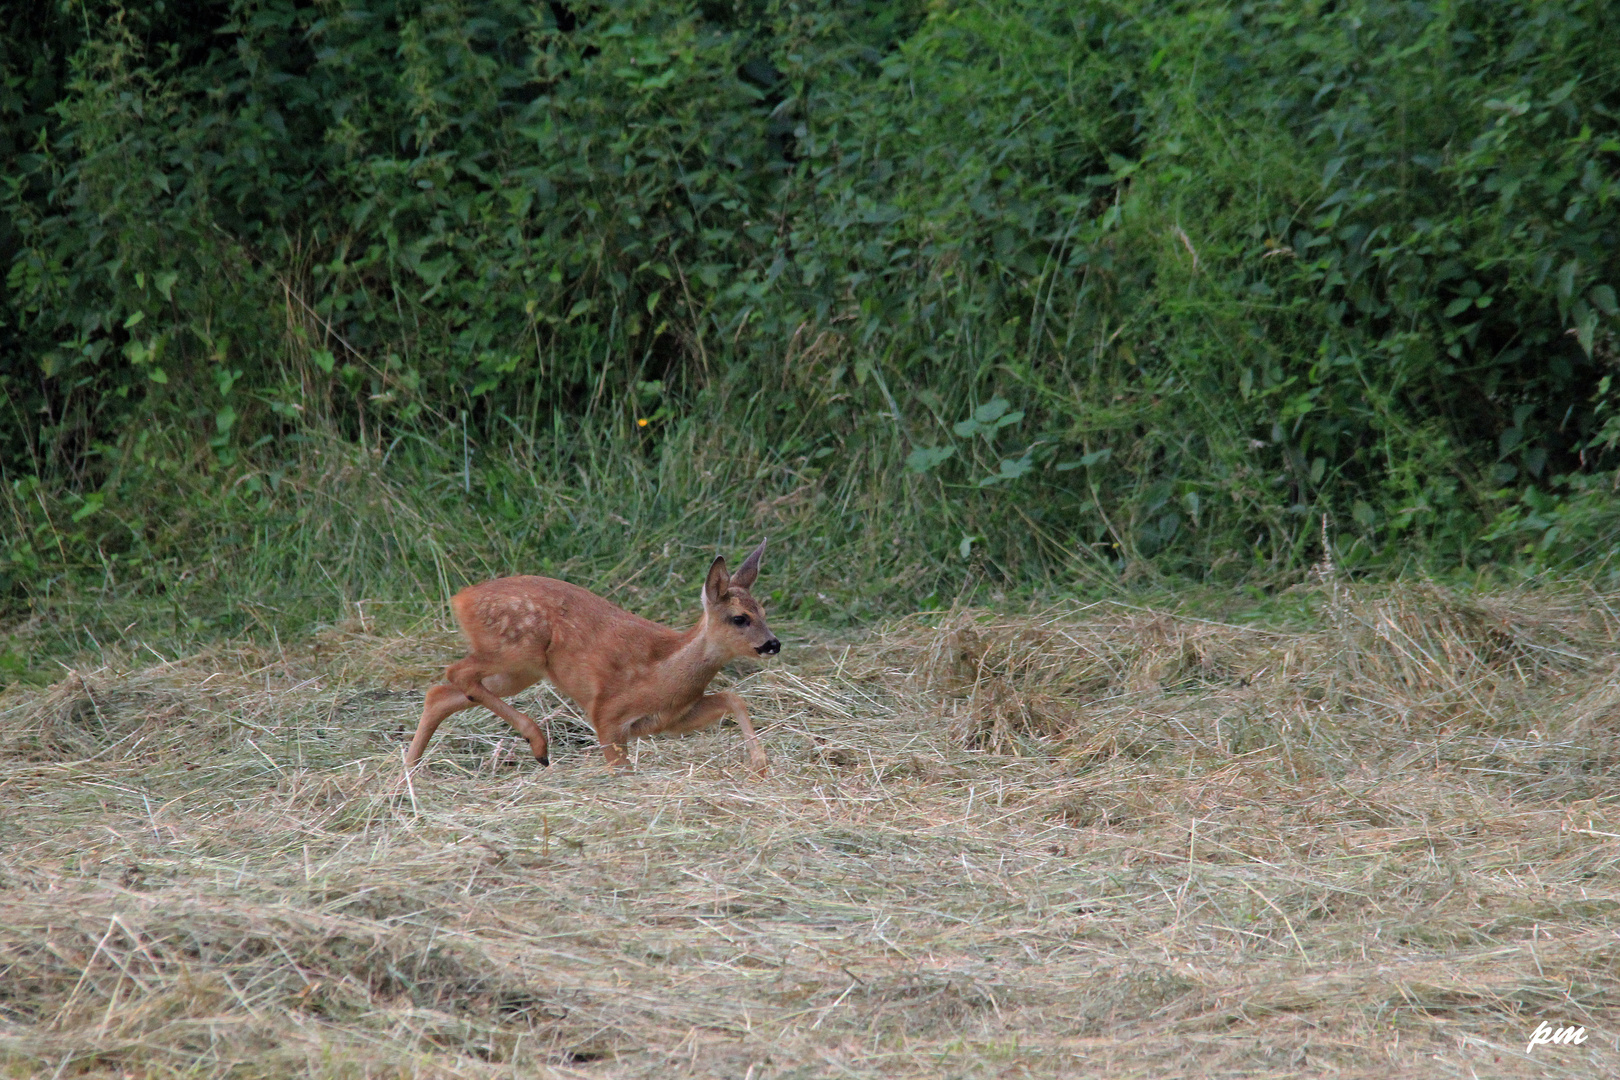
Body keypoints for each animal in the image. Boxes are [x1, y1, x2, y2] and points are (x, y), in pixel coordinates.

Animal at [408, 540, 780, 777]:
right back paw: (538, 745)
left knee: (440, 694)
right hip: (516, 649)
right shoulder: (607, 715)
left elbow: (732, 697)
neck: (664, 673)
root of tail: (460, 600)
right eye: (740, 618)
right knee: (457, 672)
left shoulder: (672, 719)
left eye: (763, 612)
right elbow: (621, 770)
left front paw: (759, 767)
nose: (773, 644)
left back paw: (407, 774)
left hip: (520, 671)